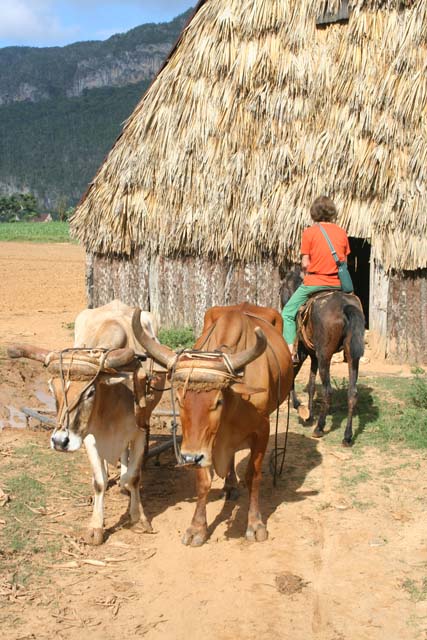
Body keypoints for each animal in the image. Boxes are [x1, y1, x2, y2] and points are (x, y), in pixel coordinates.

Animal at [280, 282, 368, 448]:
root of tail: (344, 306)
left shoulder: (301, 354)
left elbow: (295, 378)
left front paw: (300, 408)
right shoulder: (313, 357)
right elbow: (311, 385)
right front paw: (308, 414)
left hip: (324, 357)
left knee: (328, 391)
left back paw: (319, 428)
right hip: (352, 357)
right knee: (352, 393)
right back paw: (347, 437)